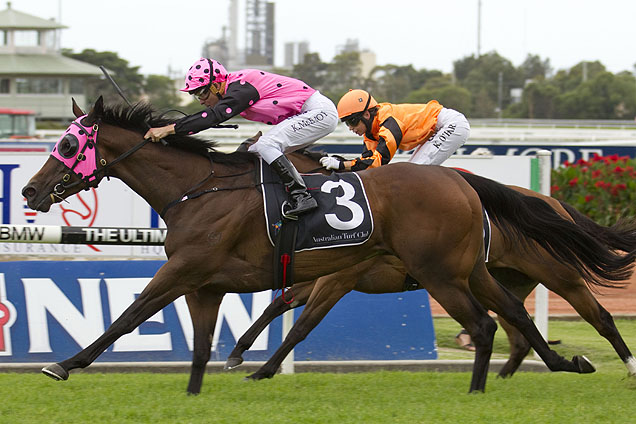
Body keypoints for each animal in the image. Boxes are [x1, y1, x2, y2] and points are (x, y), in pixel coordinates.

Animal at [222, 148, 636, 384]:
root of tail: (550, 203)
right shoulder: (327, 276)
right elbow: (280, 304)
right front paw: (239, 352)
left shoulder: (339, 278)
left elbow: (302, 325)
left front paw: (262, 369)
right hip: (502, 279)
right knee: (518, 325)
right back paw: (520, 373)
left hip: (555, 274)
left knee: (600, 317)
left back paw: (628, 366)